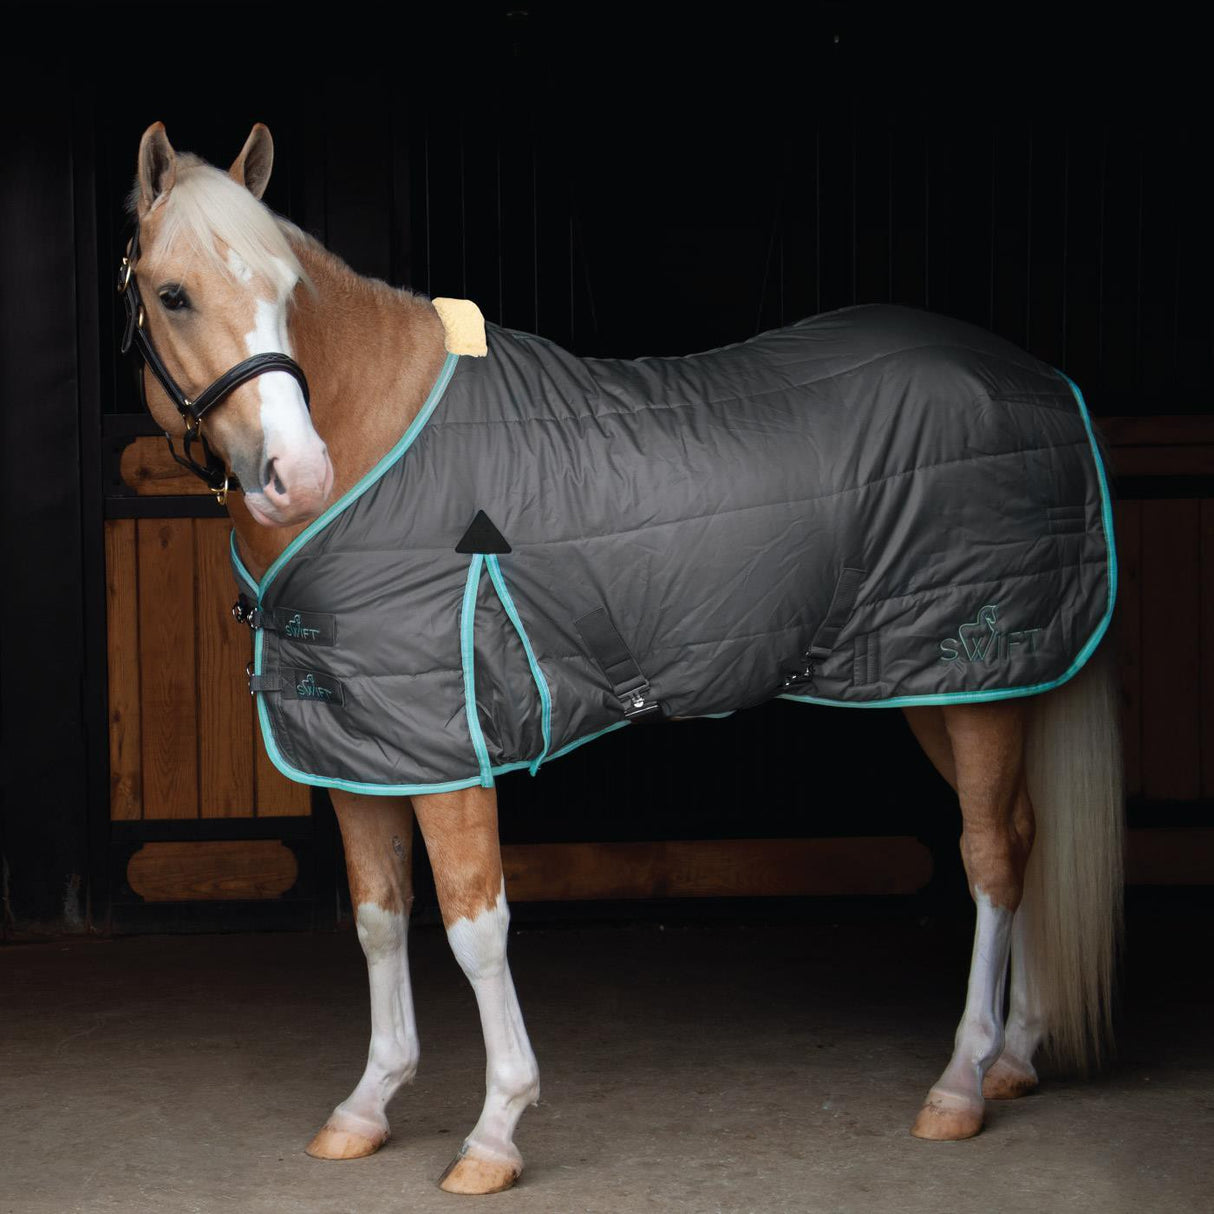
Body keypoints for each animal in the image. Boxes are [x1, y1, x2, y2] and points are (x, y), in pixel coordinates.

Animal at [118, 121, 1123, 1195]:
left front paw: (496, 1131)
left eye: (286, 289)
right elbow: (380, 918)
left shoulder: (448, 751)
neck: (381, 445)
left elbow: (475, 928)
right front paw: (367, 1106)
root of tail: (1044, 382)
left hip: (972, 678)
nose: (296, 476)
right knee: (1026, 834)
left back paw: (962, 1082)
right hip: (951, 681)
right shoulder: (361, 748)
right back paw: (1017, 1057)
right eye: (174, 295)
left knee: (991, 857)